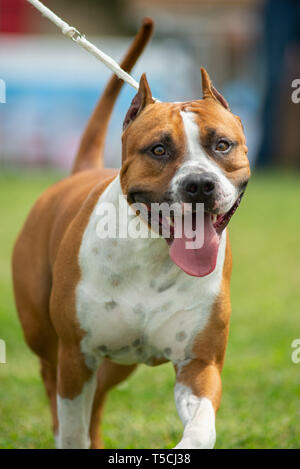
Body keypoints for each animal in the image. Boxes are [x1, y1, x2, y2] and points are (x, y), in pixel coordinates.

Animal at [12, 19, 250, 450]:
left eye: (222, 145)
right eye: (158, 149)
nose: (200, 185)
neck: (154, 253)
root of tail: (81, 171)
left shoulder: (199, 364)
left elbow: (201, 428)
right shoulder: (76, 357)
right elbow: (71, 426)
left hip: (116, 363)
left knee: (99, 400)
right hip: (47, 341)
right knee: (52, 387)